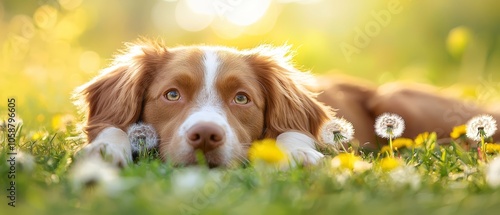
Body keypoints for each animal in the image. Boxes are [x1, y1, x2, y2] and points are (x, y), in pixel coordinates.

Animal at [74, 39, 500, 167]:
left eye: (242, 98)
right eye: (172, 95)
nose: (206, 136)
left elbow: (291, 133)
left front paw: (300, 155)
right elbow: (112, 128)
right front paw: (104, 150)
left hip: (396, 97)